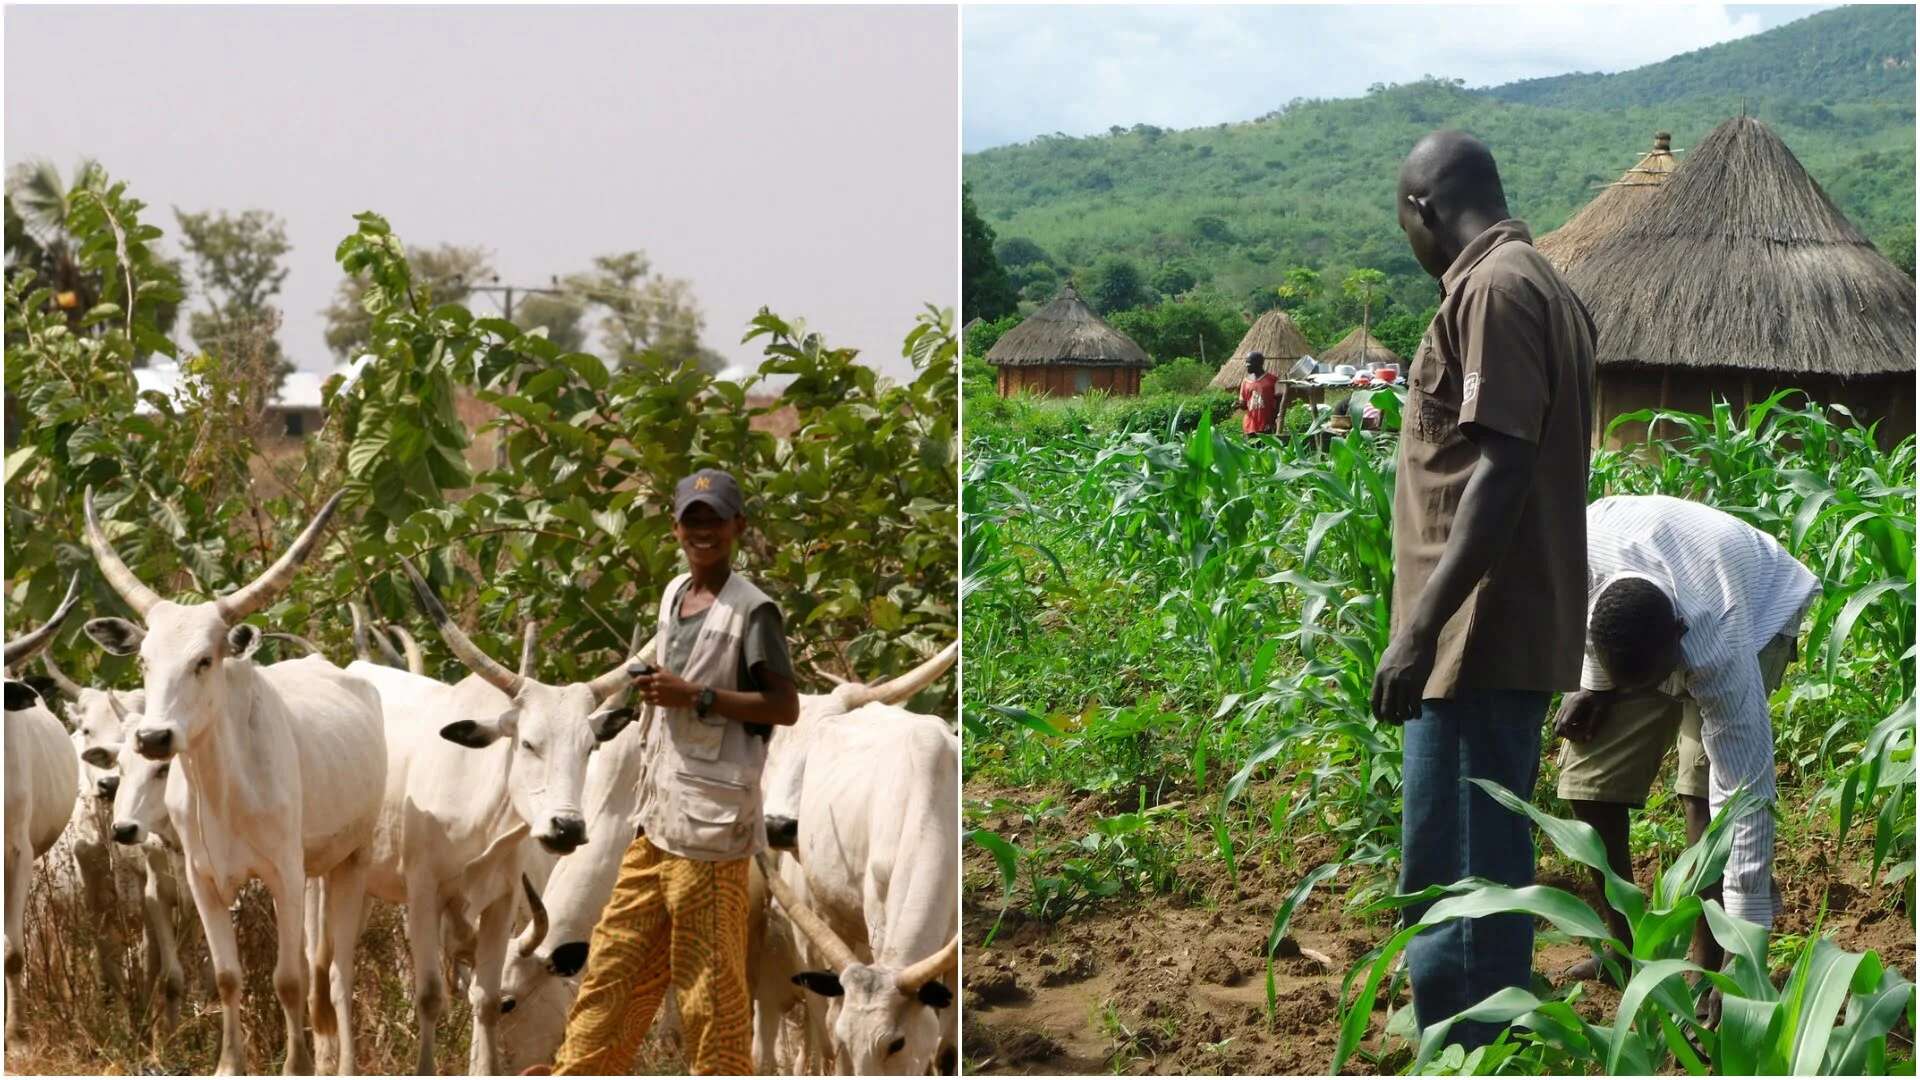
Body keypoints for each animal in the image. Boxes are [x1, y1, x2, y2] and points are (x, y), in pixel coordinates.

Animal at [81, 490, 385, 1076]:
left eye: (204, 660)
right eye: (144, 662)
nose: (153, 736)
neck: (221, 790)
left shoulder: (283, 874)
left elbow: (287, 980)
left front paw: (296, 1066)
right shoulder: (201, 879)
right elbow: (226, 977)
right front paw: (229, 1063)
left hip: (352, 860)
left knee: (337, 973)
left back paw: (342, 1062)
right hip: (316, 868)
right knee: (320, 966)